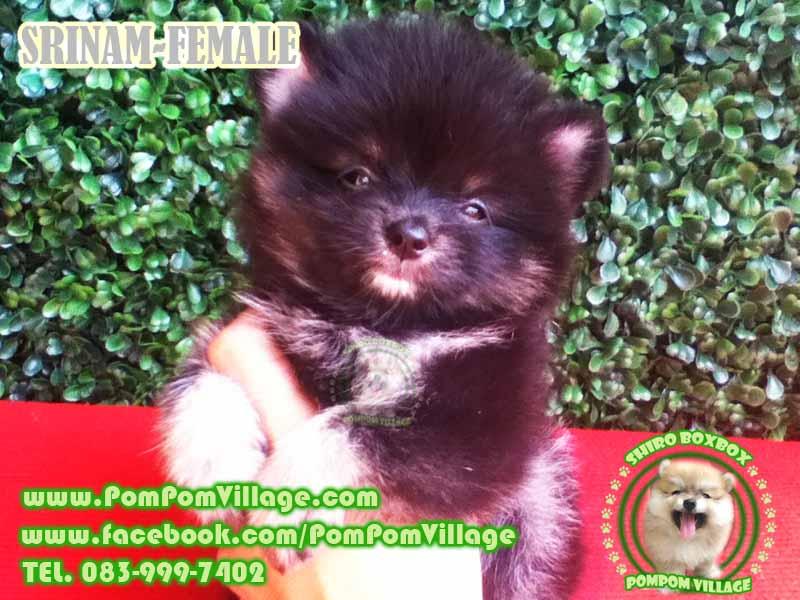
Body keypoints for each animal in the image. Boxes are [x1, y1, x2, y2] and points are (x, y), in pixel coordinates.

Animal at [158, 17, 609, 599]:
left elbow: (367, 429)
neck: (372, 319)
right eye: (358, 176)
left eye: (475, 209)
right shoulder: (259, 322)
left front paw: (295, 494)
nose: (409, 234)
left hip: (543, 508)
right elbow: (201, 373)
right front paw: (214, 455)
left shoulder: (488, 418)